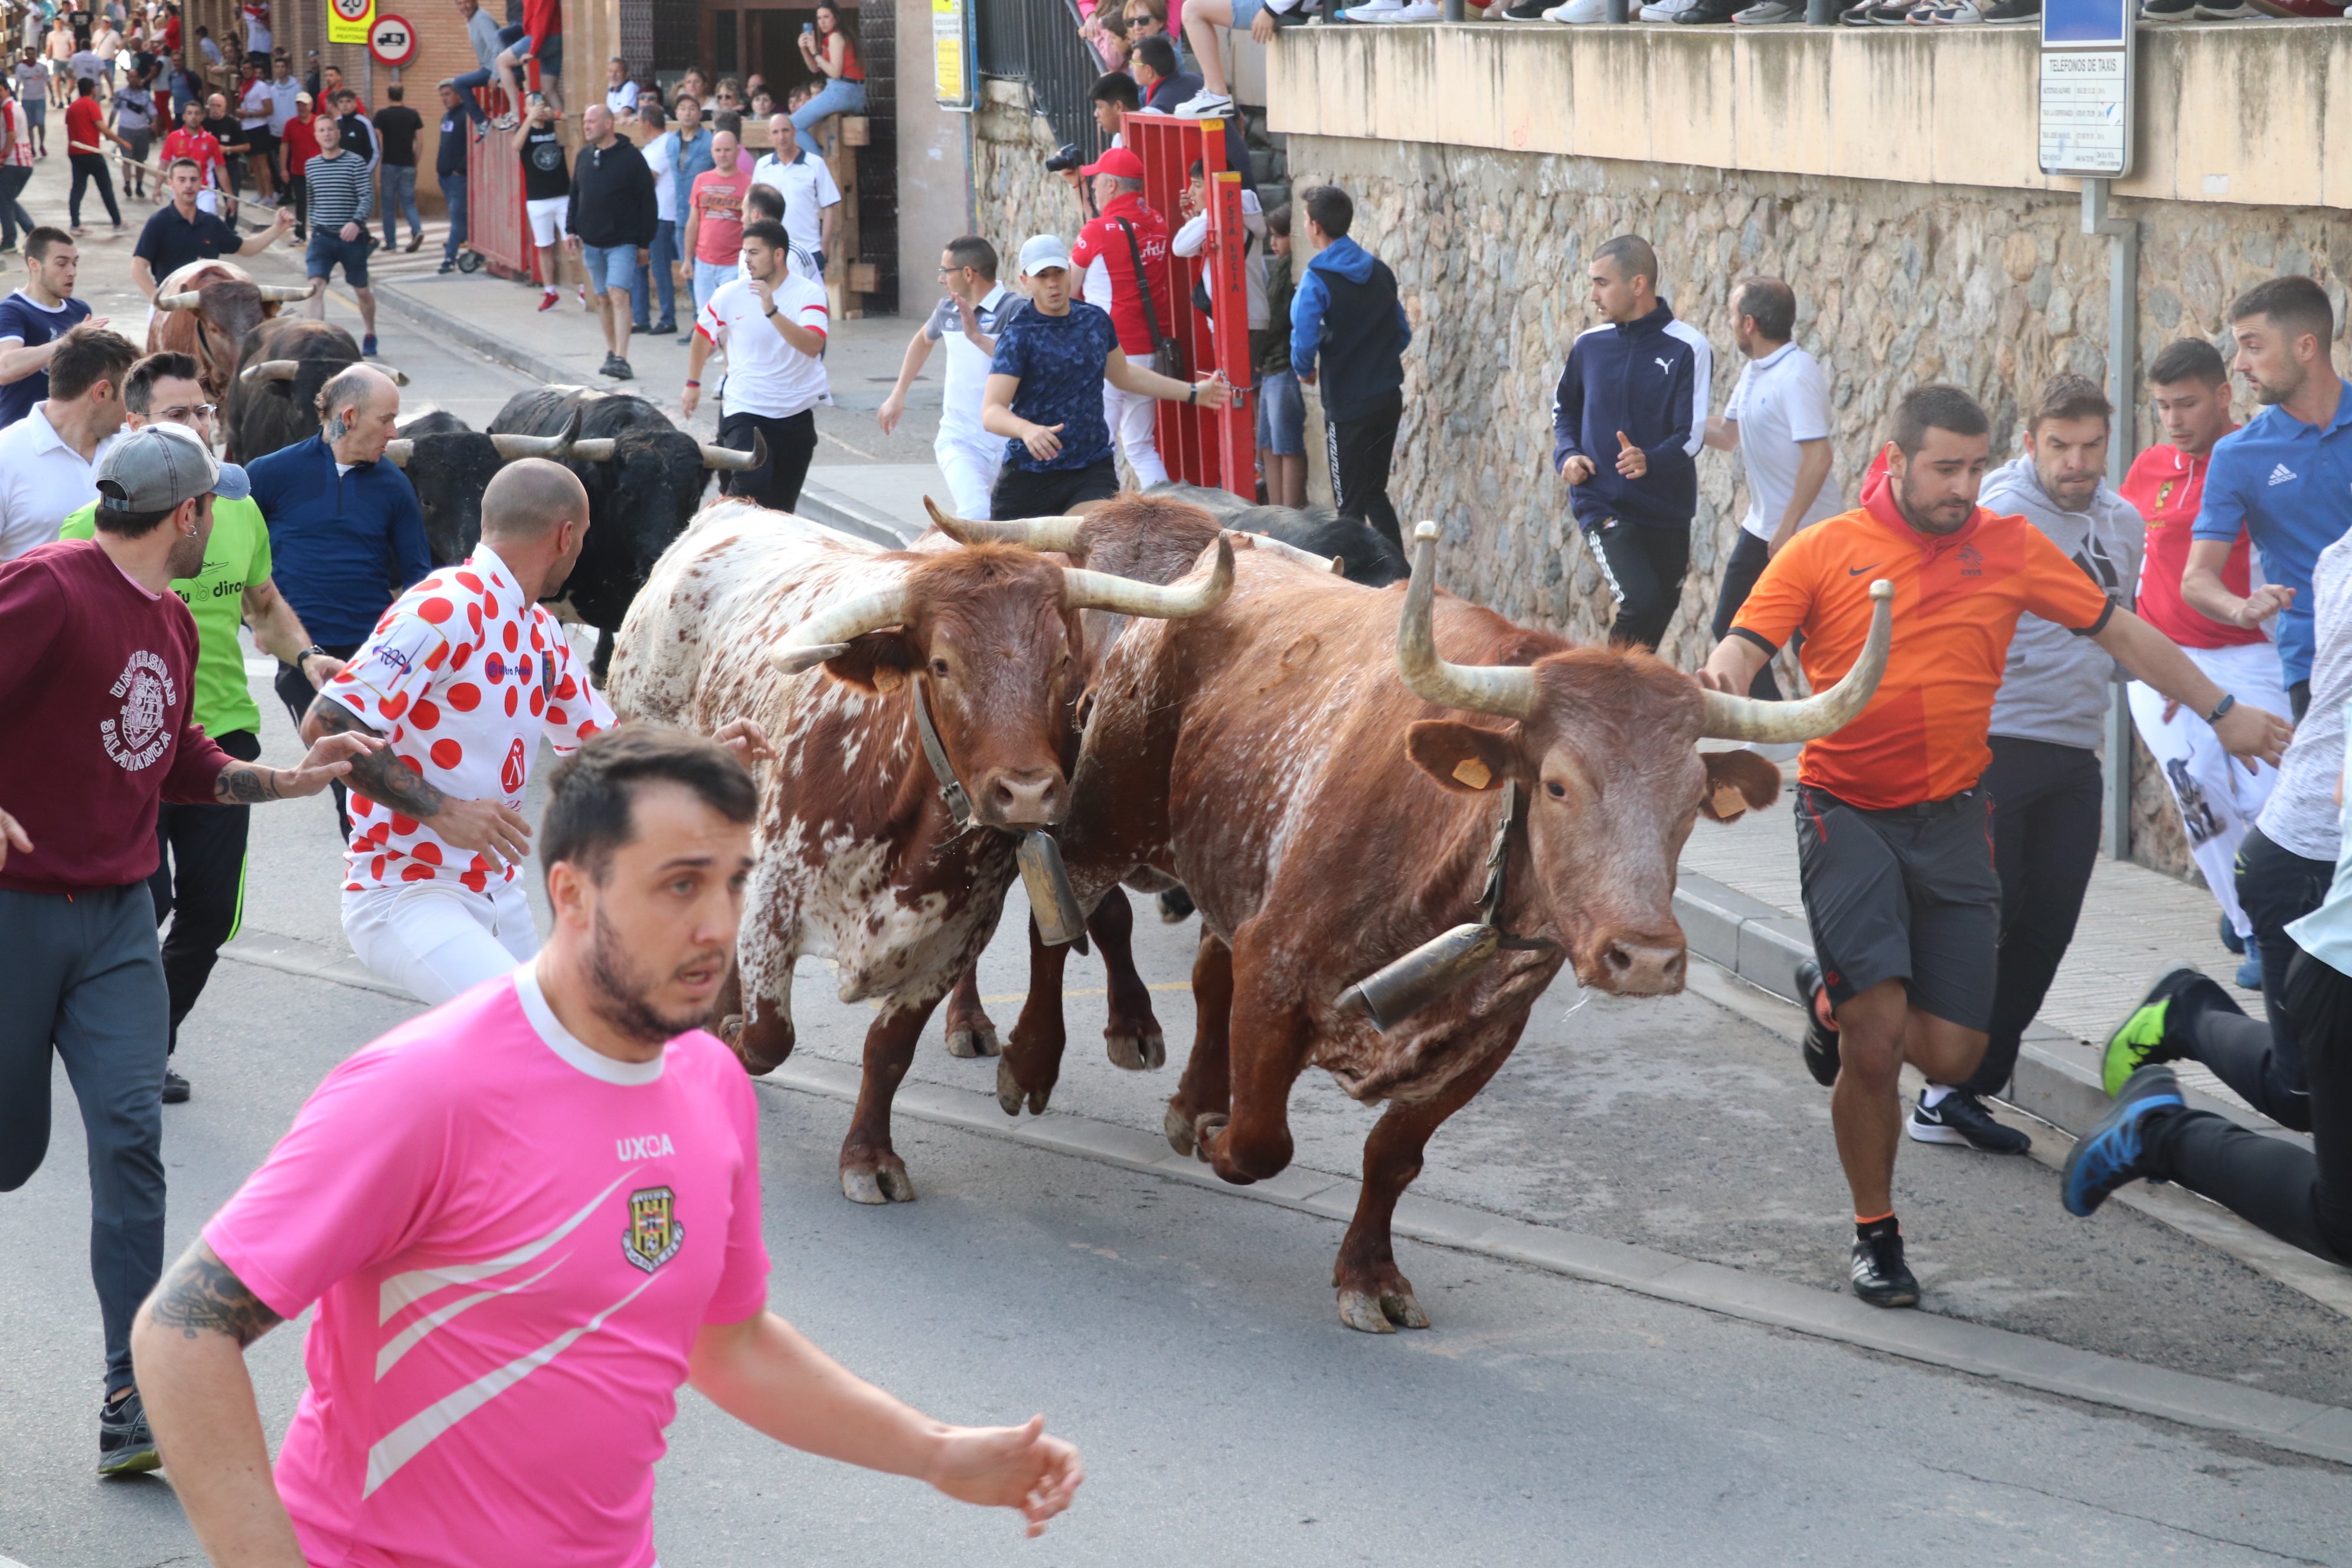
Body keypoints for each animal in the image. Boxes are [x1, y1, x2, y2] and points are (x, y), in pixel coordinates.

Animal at [606, 501, 1232, 1203]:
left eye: (1063, 661)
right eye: (941, 664)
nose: (1027, 791)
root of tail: (728, 510)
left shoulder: (949, 941)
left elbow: (889, 1050)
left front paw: (870, 1156)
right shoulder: (774, 903)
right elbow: (770, 1037)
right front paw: (729, 1038)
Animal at [1030, 522, 1891, 1335]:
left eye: (1690, 804)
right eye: (1557, 786)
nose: (1644, 958)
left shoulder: (1485, 1036)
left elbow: (1393, 1156)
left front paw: (1370, 1277)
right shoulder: (1275, 966)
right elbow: (1260, 1144)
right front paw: (1219, 1137)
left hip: (1231, 866)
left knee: (1209, 971)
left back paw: (1190, 1101)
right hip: (1100, 823)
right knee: (1054, 915)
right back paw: (1035, 1064)